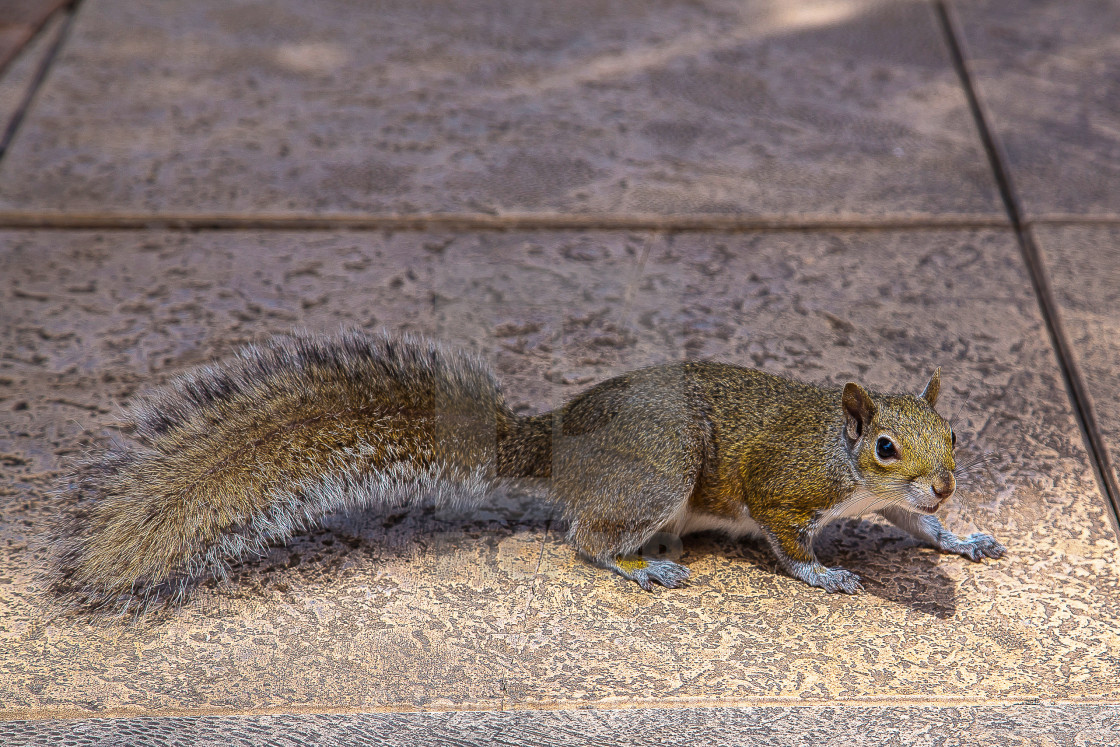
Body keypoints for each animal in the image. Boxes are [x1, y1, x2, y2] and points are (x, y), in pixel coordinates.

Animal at [50, 329, 1008, 613]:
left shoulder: (888, 506)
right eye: (885, 447)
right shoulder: (782, 488)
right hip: (661, 474)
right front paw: (827, 573)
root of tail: (556, 443)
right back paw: (643, 564)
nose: (946, 479)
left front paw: (961, 535)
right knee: (583, 536)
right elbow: (787, 540)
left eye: (954, 432)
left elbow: (915, 526)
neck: (838, 457)